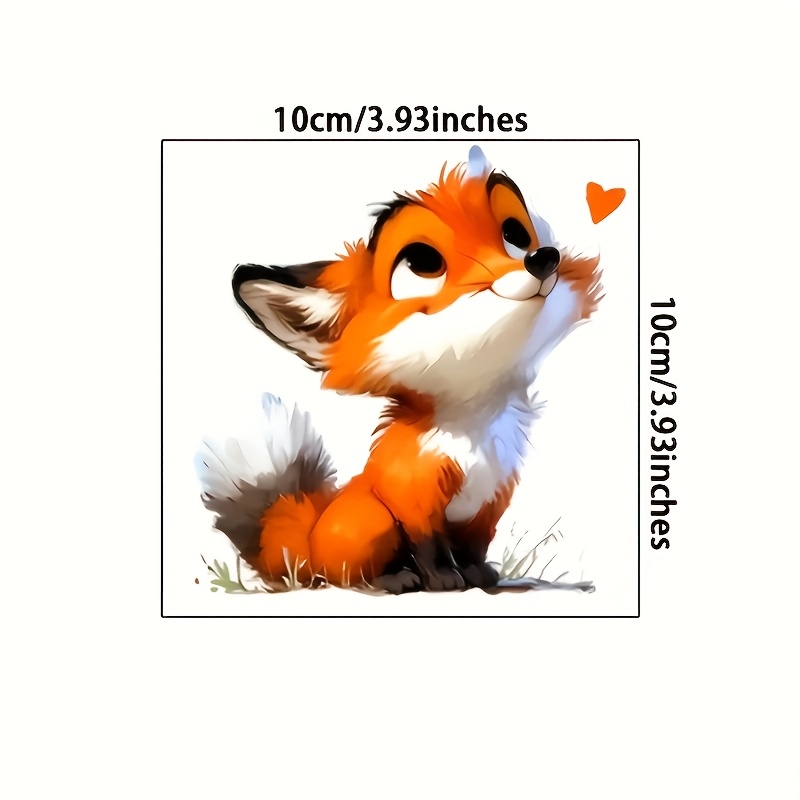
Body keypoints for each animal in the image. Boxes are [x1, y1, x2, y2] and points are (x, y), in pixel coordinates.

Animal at [196, 146, 602, 593]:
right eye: (423, 261)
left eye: (514, 234)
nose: (542, 259)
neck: (474, 435)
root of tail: (307, 539)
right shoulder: (414, 503)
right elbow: (429, 547)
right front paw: (443, 580)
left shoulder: (489, 504)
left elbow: (474, 548)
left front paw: (479, 575)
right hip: (372, 521)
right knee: (343, 575)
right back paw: (392, 579)